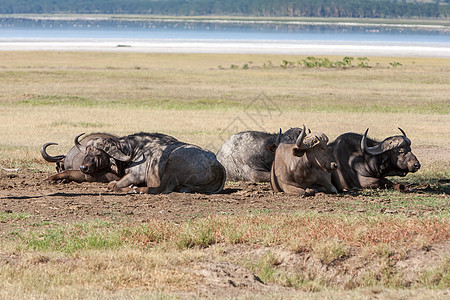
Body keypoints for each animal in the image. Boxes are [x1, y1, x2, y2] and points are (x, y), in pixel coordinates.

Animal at [76, 132, 229, 193]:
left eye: (98, 154)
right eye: (87, 152)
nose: (83, 167)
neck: (134, 150)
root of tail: (218, 165)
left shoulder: (136, 176)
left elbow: (114, 185)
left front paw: (128, 187)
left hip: (171, 166)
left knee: (159, 189)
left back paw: (137, 190)